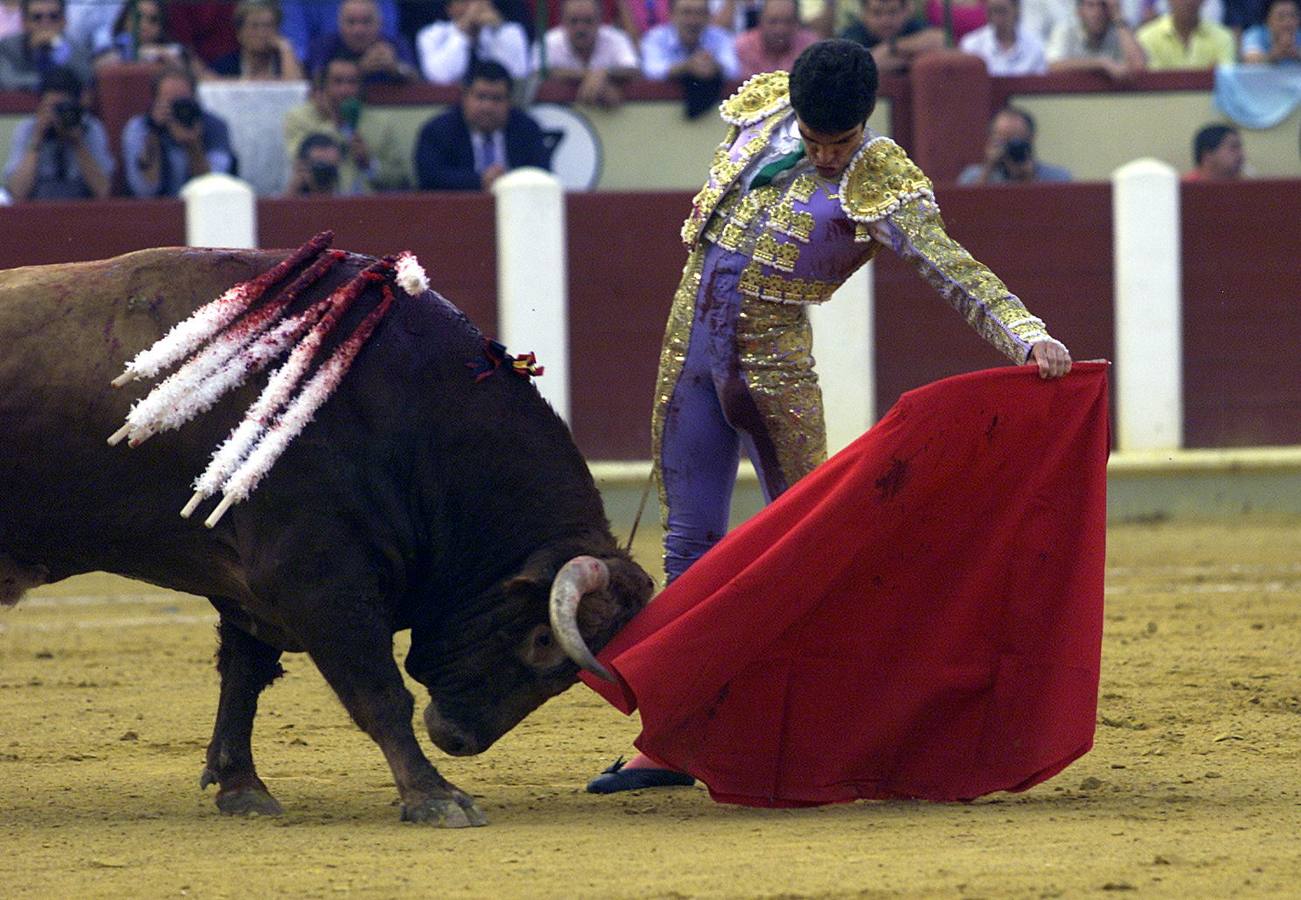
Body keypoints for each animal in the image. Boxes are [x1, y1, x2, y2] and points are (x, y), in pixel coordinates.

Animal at [0, 243, 650, 827]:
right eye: (541, 641)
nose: (461, 739)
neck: (409, 418)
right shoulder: (316, 581)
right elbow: (380, 693)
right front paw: (436, 797)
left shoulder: (254, 593)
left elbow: (243, 679)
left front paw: (242, 787)